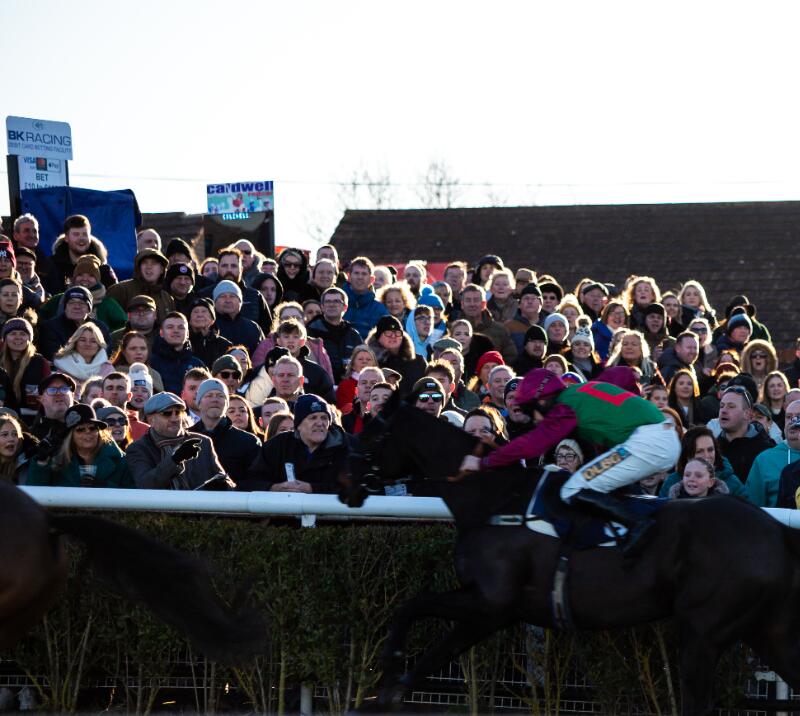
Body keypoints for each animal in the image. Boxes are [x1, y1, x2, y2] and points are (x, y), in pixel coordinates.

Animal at [344, 408, 800, 716]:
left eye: (371, 437)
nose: (345, 484)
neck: (495, 499)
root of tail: (777, 531)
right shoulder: (495, 611)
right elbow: (427, 636)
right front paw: (386, 690)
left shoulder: (491, 603)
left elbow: (418, 617)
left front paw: (388, 672)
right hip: (766, 629)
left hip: (704, 633)